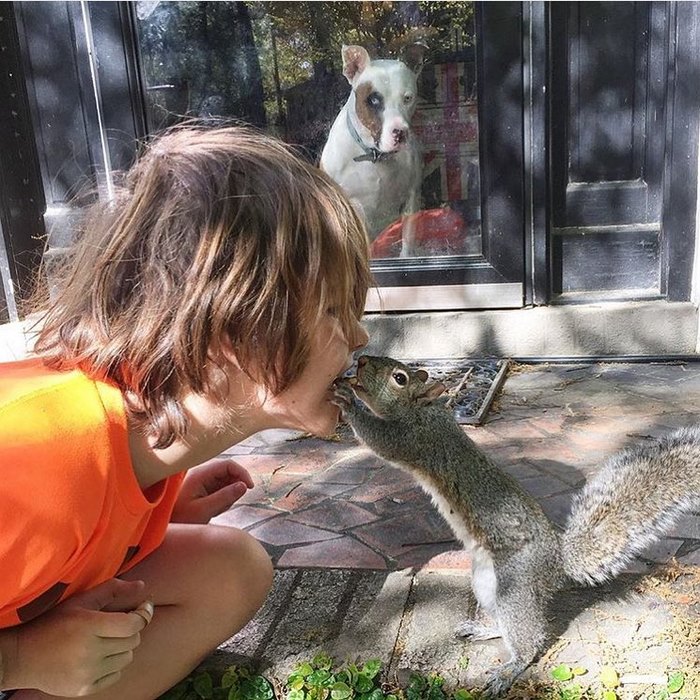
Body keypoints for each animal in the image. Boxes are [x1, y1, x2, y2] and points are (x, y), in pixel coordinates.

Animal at [332, 355, 700, 698]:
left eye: (399, 378)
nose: (360, 360)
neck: (426, 411)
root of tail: (557, 563)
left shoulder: (412, 438)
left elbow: (380, 439)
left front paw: (346, 401)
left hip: (517, 582)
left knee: (529, 636)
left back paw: (510, 668)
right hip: (486, 581)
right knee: (503, 621)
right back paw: (483, 630)